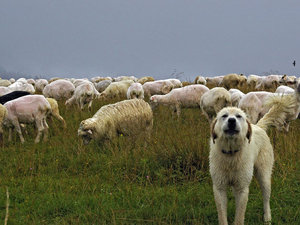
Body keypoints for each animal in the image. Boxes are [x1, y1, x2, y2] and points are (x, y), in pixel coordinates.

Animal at [210, 96, 296, 224]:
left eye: (238, 116)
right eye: (224, 116)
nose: (232, 121)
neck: (231, 154)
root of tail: (258, 126)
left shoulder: (242, 189)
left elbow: (239, 217)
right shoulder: (219, 188)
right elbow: (222, 216)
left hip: (264, 176)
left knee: (266, 199)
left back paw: (267, 218)